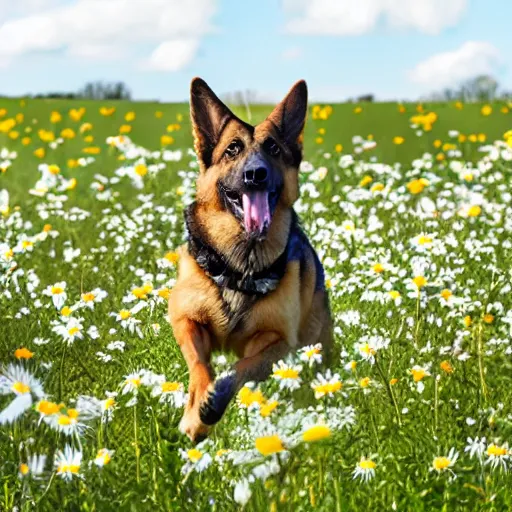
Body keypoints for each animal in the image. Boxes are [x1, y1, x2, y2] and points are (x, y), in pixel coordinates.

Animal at [169, 78, 332, 442]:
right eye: (232, 149)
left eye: (273, 149)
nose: (256, 174)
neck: (241, 263)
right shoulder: (186, 319)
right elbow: (200, 365)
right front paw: (195, 414)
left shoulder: (276, 341)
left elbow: (238, 368)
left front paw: (212, 405)